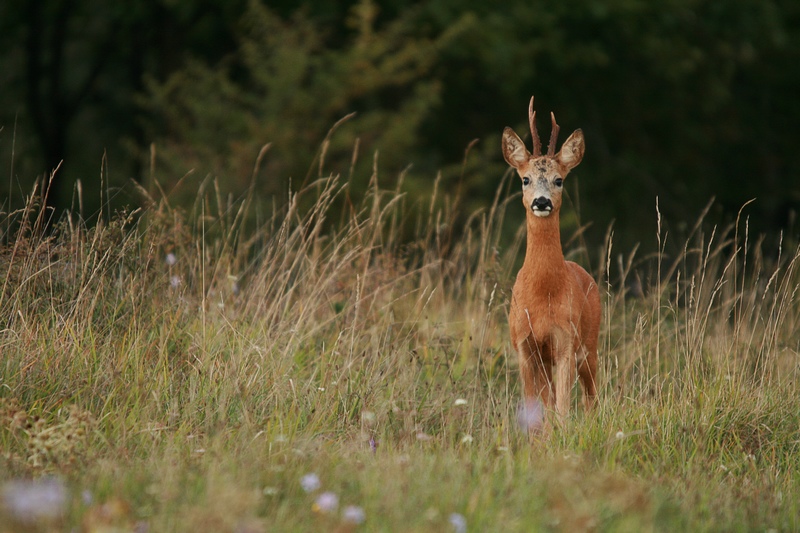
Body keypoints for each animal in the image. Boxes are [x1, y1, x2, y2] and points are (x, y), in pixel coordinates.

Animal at [500, 96, 600, 436]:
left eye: (559, 180)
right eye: (525, 179)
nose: (541, 201)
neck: (543, 293)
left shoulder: (565, 341)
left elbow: (563, 410)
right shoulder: (523, 345)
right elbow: (537, 411)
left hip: (592, 344)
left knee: (592, 399)